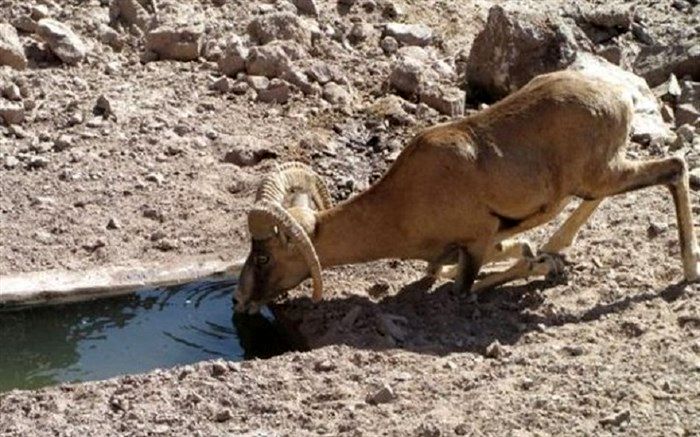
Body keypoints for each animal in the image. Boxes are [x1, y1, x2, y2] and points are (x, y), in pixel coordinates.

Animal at [232, 70, 696, 312]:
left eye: (263, 255)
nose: (238, 301)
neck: (404, 201)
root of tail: (619, 96)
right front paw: (541, 257)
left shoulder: (474, 243)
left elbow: (464, 285)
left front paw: (539, 264)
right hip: (597, 178)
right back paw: (557, 248)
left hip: (605, 173)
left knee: (675, 168)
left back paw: (690, 271)